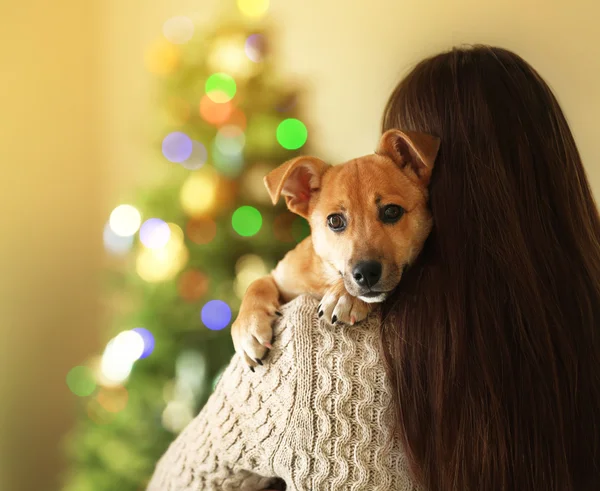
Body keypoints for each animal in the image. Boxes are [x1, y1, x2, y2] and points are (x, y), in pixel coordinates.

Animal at [232, 129, 438, 368]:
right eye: (335, 221)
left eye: (392, 211)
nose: (366, 274)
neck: (325, 277)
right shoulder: (281, 275)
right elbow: (256, 284)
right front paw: (248, 328)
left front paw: (344, 296)